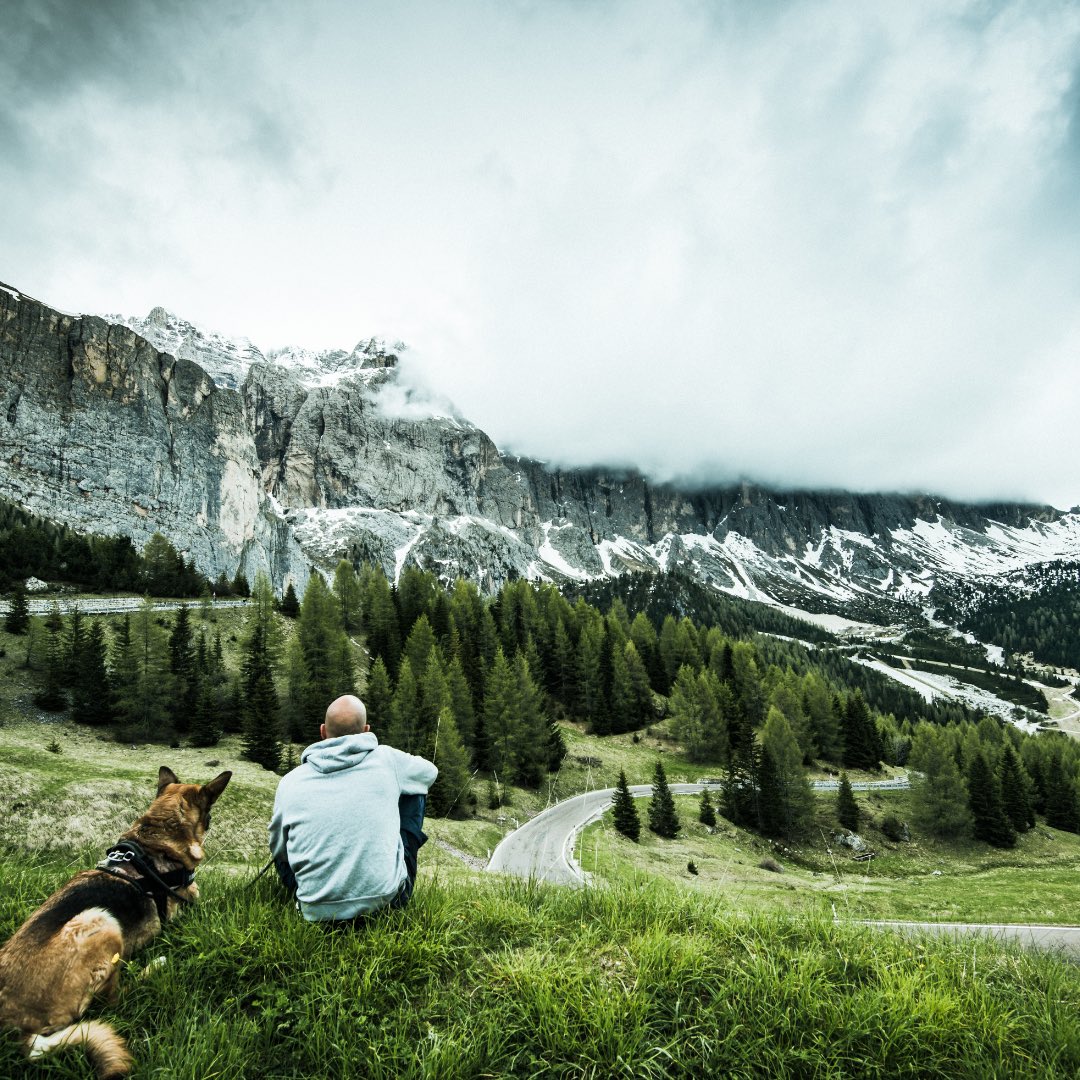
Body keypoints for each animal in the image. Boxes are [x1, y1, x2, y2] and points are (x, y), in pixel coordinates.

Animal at [0, 764, 227, 1075]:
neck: (156, 839)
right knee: (115, 1001)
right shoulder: (188, 910)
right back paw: (155, 967)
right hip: (101, 920)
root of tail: (15, 1031)